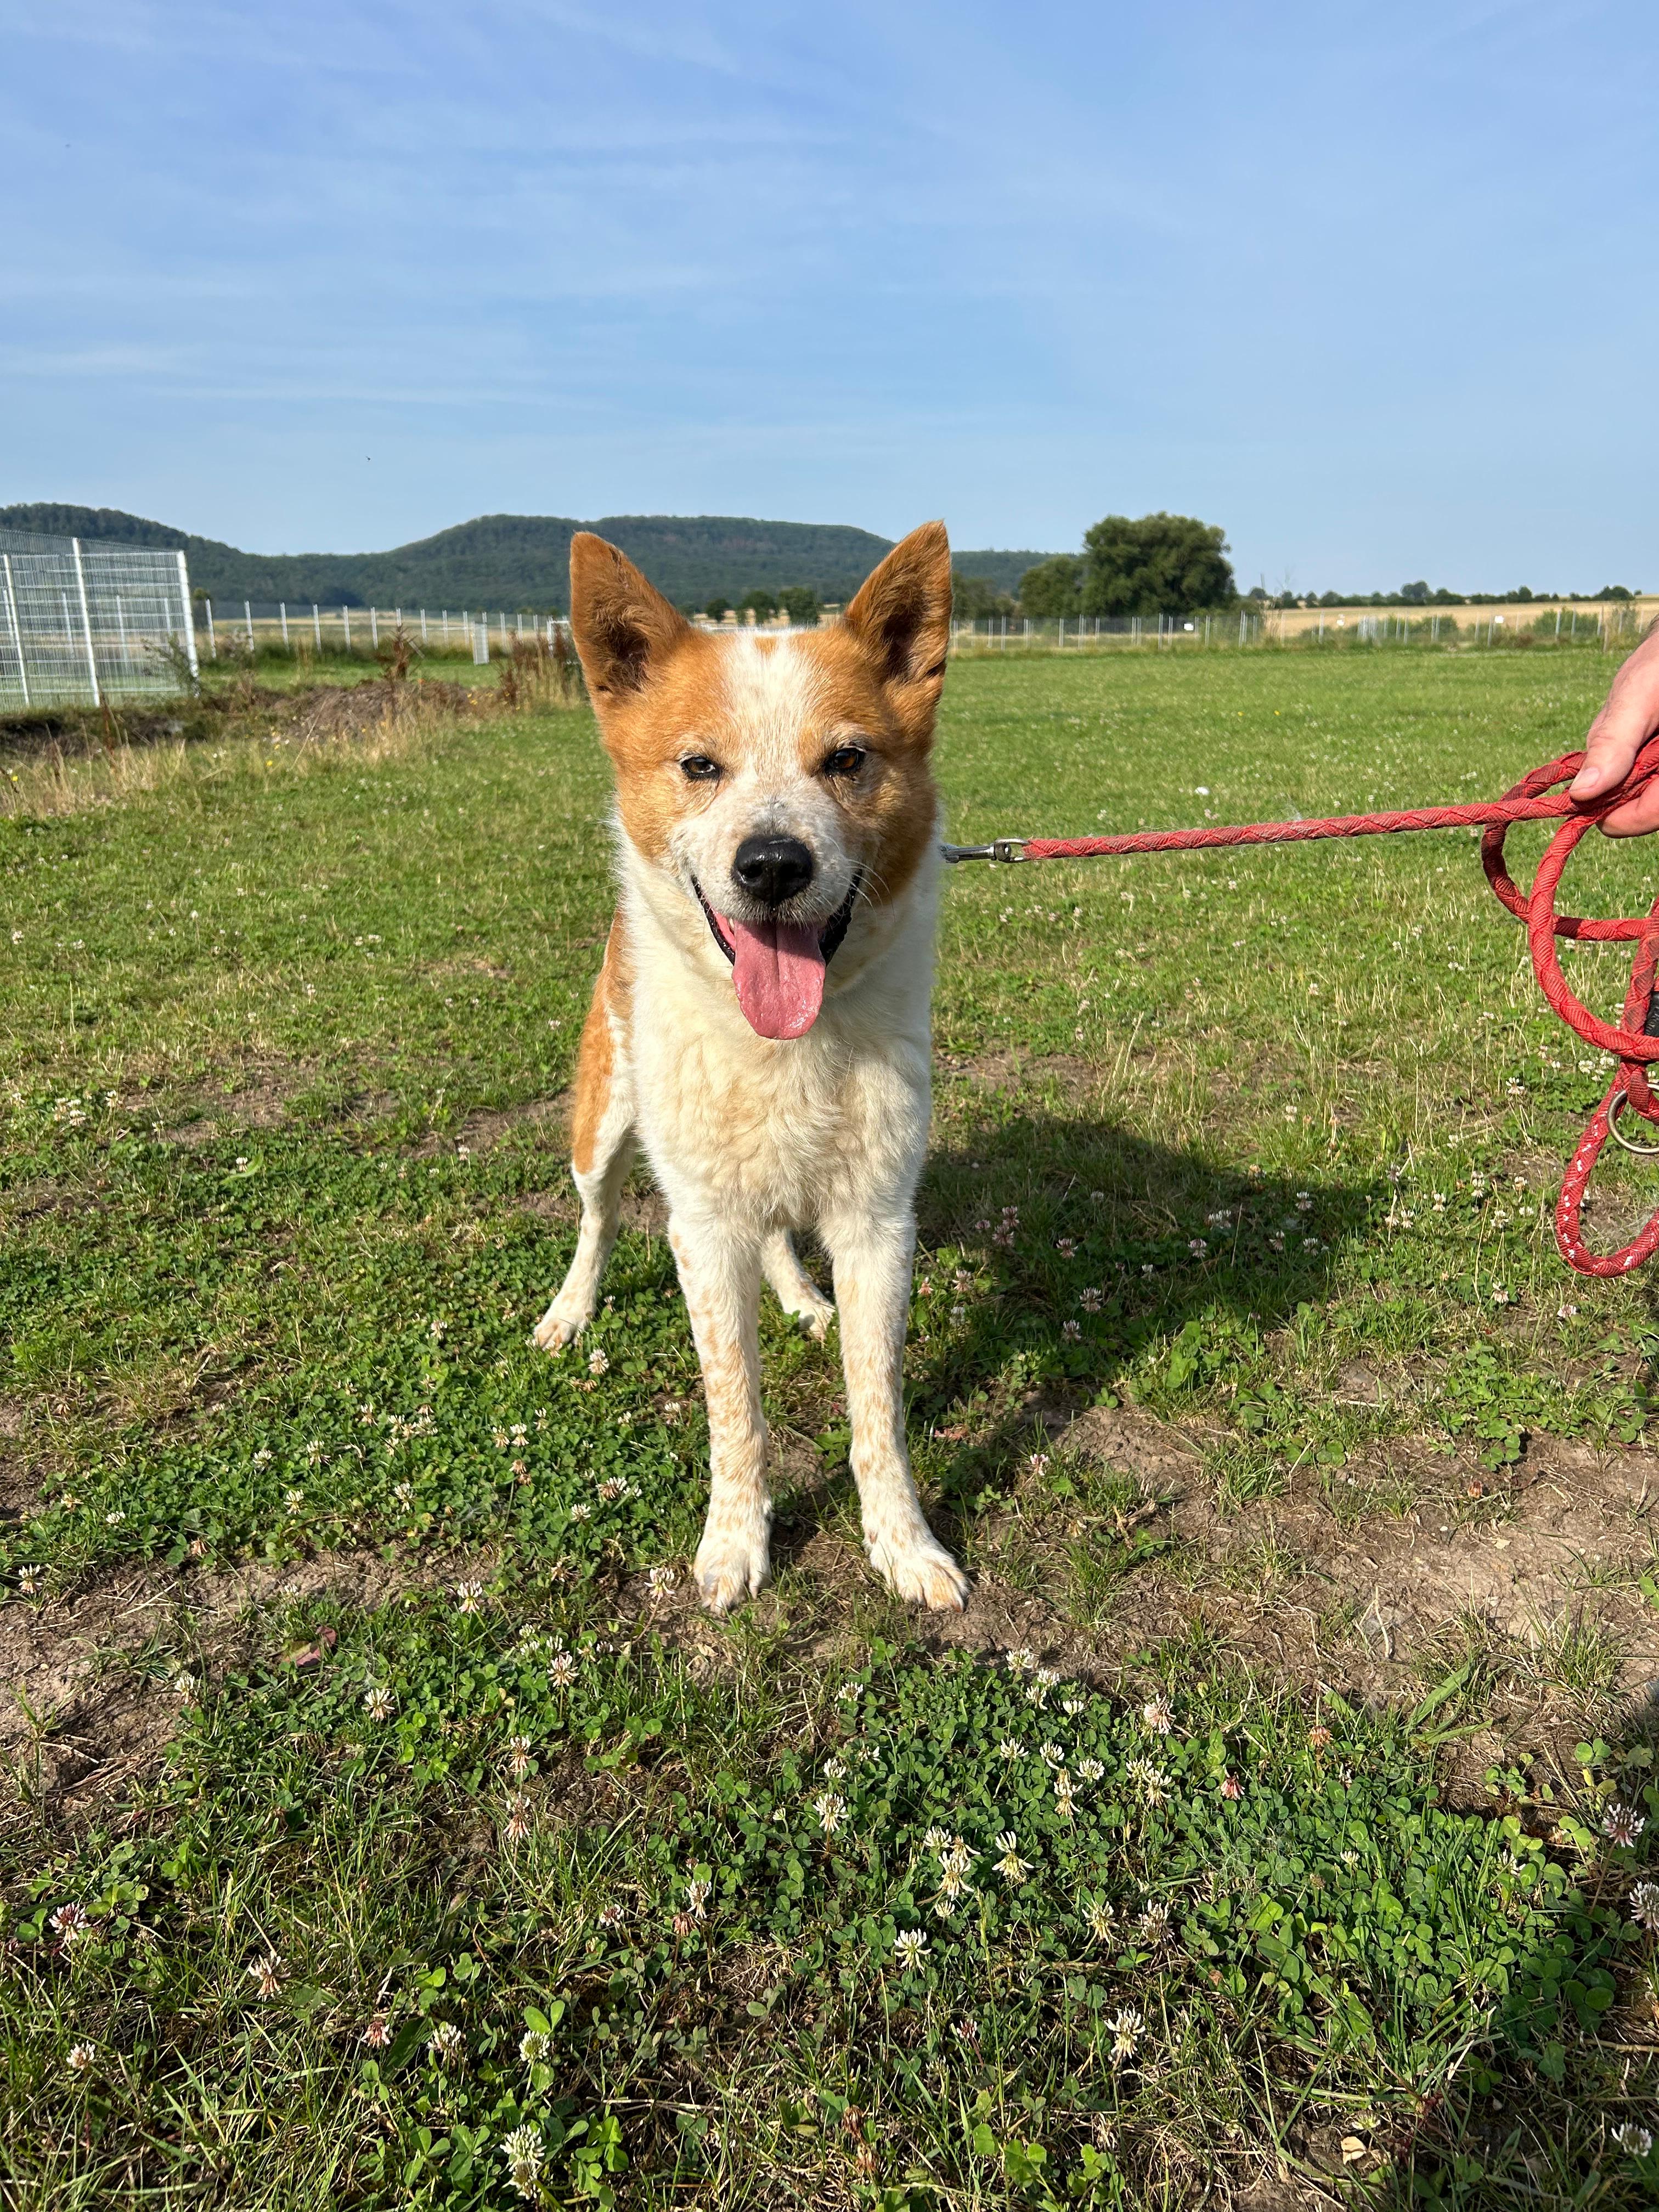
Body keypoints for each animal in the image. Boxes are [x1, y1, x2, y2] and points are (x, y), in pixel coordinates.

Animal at [534, 521, 968, 1617]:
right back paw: (569, 1311)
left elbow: (877, 1412)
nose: (771, 865)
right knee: (596, 1220)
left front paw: (903, 1545)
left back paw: (801, 1298)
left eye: (846, 759)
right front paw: (735, 1543)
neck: (785, 1051)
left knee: (778, 1230)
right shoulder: (702, 1229)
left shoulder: (877, 1223)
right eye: (699, 764)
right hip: (603, 1122)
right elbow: (736, 1409)